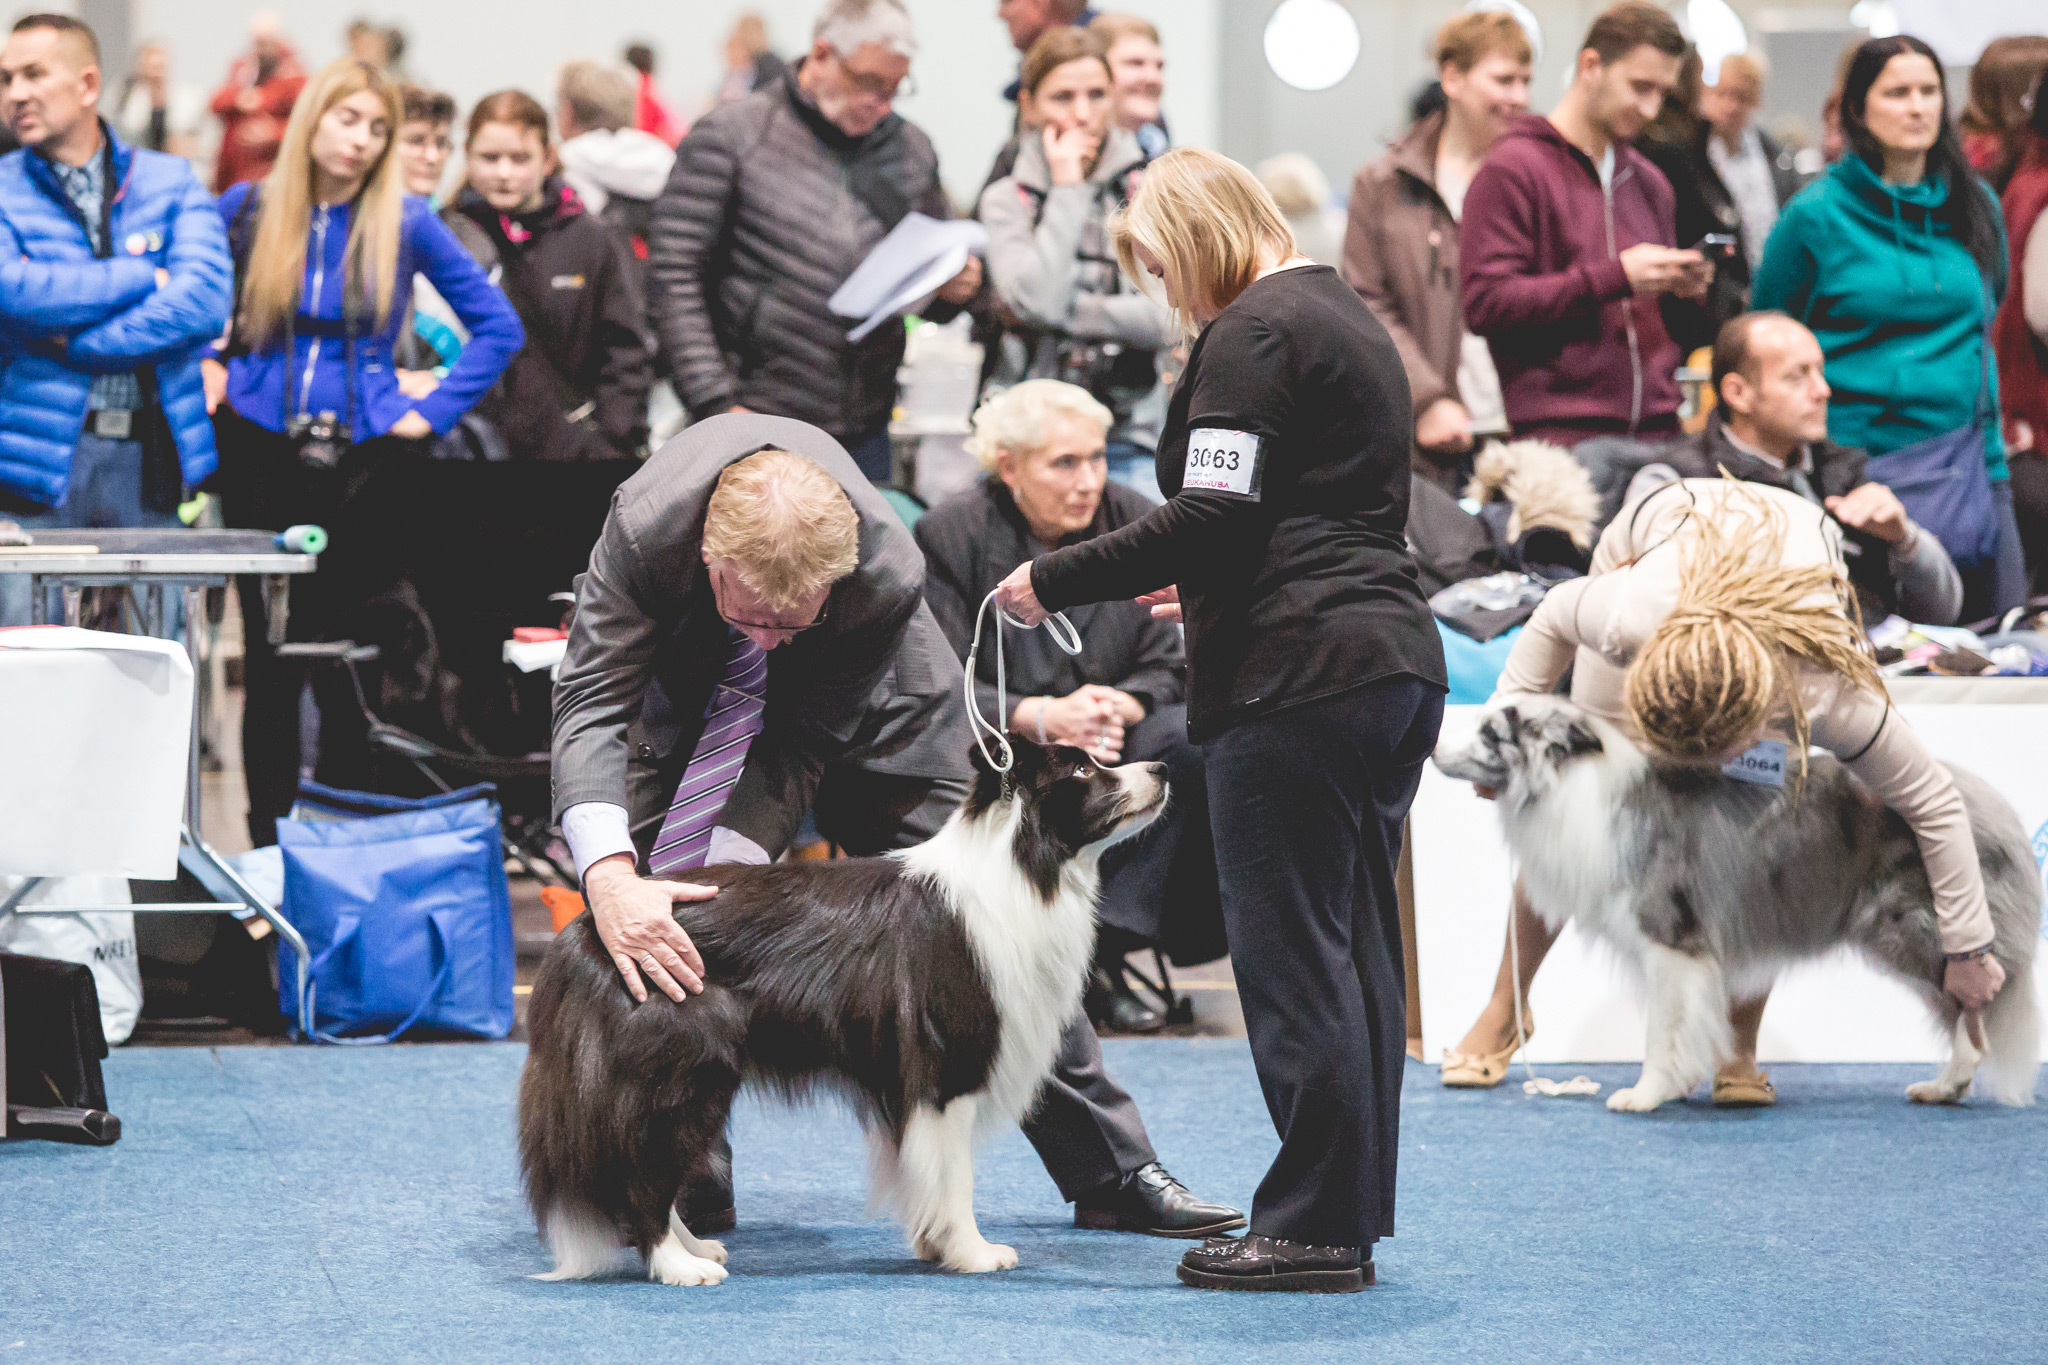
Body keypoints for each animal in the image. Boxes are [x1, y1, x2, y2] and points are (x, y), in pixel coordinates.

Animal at [520, 736, 1171, 1285]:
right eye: (1081, 771)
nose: (1163, 768)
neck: (1024, 868)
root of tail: (589, 930)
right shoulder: (948, 1069)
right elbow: (956, 1173)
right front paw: (975, 1253)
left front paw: (935, 1244)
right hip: (676, 1069)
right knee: (641, 1175)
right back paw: (680, 1265)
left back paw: (696, 1247)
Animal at [1433, 699, 2039, 1113]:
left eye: (1490, 733)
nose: (1432, 744)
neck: (1570, 787)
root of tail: (1988, 805)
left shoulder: (1671, 939)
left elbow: (1663, 1030)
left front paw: (1645, 1095)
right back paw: (1942, 1089)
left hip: (1912, 932)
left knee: (1973, 1010)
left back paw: (1947, 1083)